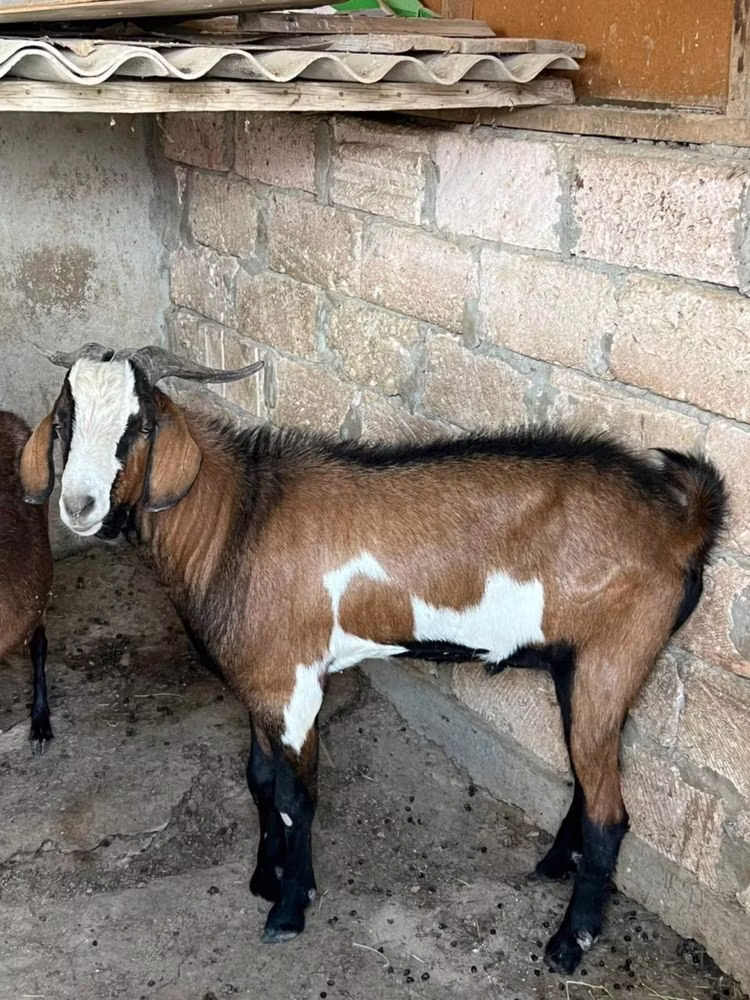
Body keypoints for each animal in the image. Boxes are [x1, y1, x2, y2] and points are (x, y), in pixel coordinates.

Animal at [20, 343, 727, 974]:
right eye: (63, 420)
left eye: (138, 425)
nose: (78, 506)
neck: (238, 522)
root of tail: (680, 523)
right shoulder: (258, 682)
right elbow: (258, 778)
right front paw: (265, 876)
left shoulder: (293, 685)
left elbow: (295, 795)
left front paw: (290, 908)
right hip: (578, 669)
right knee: (589, 775)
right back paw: (555, 864)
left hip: (613, 659)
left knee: (612, 813)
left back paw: (568, 943)